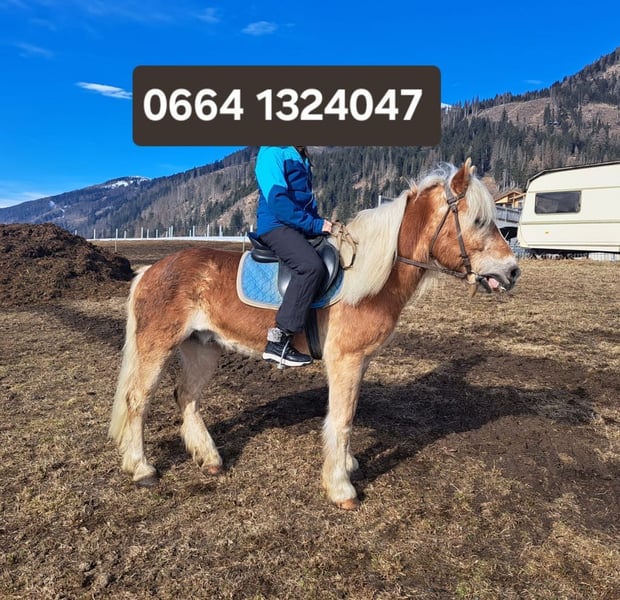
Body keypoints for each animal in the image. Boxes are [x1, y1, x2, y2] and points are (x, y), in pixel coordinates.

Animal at [109, 158, 520, 510]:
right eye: (479, 220)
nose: (513, 271)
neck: (369, 277)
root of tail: (150, 270)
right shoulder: (345, 360)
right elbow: (341, 420)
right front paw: (341, 488)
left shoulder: (360, 361)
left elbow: (348, 414)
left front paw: (348, 465)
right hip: (157, 344)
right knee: (137, 400)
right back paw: (142, 469)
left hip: (202, 348)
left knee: (187, 396)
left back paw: (209, 458)